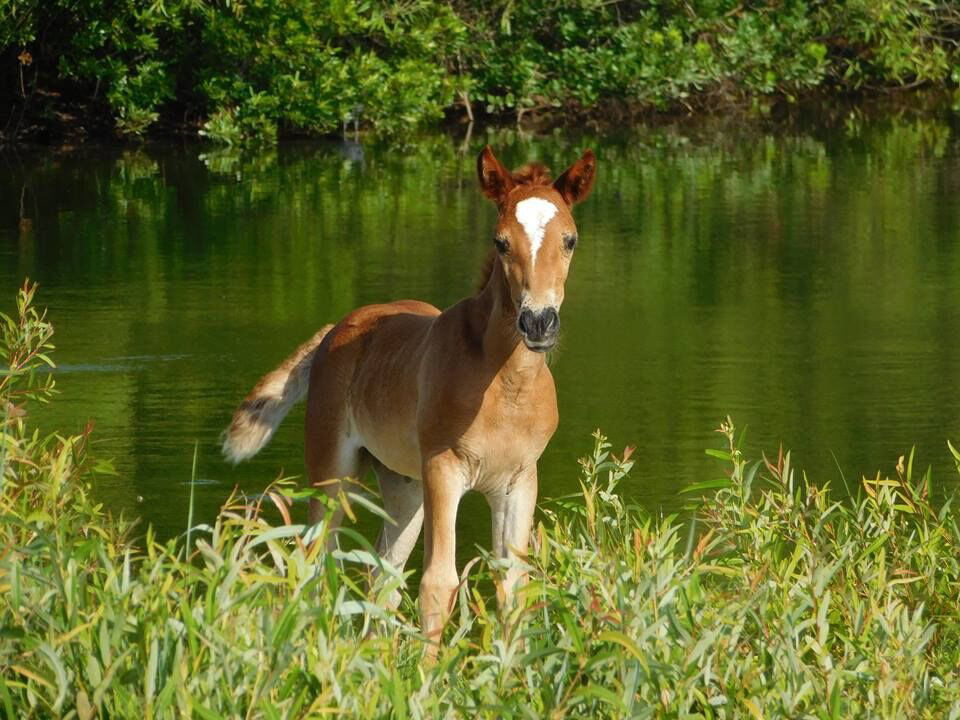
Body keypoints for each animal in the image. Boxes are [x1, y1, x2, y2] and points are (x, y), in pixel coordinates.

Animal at [224, 145, 596, 652]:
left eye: (570, 240)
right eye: (500, 242)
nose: (538, 322)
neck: (507, 388)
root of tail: (336, 329)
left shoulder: (519, 481)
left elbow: (513, 585)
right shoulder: (444, 468)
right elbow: (438, 582)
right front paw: (429, 672)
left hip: (404, 487)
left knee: (383, 574)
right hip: (334, 471)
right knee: (317, 560)